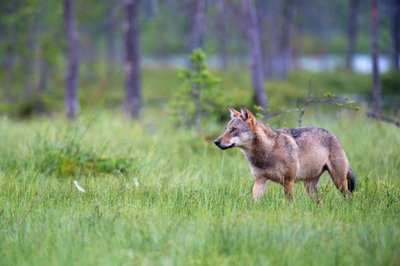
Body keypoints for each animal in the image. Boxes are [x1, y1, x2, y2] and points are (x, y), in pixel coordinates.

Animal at [214, 106, 354, 202]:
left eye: (233, 130)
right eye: (226, 129)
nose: (216, 142)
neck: (267, 151)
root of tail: (334, 135)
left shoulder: (288, 181)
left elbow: (289, 204)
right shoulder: (259, 181)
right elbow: (254, 202)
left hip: (338, 182)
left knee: (349, 196)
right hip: (310, 187)